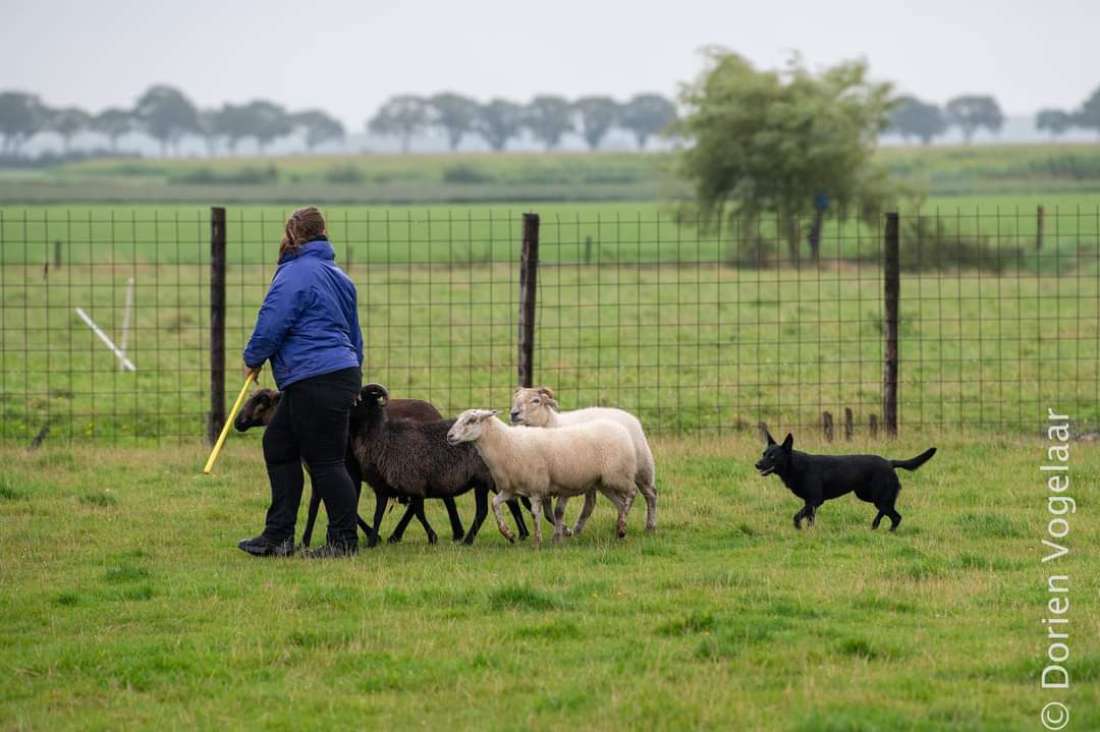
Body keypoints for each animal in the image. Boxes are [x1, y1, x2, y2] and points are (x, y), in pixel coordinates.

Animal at [444, 407, 638, 545]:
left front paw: (537, 541)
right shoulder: (510, 489)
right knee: (621, 504)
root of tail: (620, 428)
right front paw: (508, 534)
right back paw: (620, 530)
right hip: (604, 482)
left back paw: (622, 526)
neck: (506, 444)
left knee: (632, 494)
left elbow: (535, 514)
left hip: (618, 475)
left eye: (471, 420)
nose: (450, 436)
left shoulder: (536, 487)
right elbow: (495, 504)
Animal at [510, 387, 655, 530]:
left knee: (650, 493)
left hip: (641, 466)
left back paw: (649, 526)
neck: (553, 422)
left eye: (536, 400)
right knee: (597, 502)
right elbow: (548, 514)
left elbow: (557, 510)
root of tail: (630, 416)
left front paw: (563, 529)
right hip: (604, 479)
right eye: (515, 399)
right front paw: (564, 528)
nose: (514, 413)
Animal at [756, 429, 937, 530]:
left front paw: (798, 529)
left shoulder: (815, 500)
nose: (756, 464)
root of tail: (889, 462)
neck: (795, 466)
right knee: (889, 512)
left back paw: (883, 530)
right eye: (763, 454)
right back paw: (875, 526)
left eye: (772, 456)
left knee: (894, 516)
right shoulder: (811, 503)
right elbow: (810, 519)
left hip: (878, 497)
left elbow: (796, 517)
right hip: (867, 496)